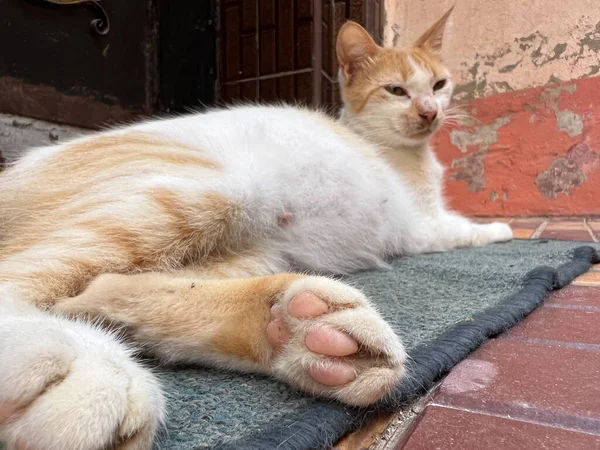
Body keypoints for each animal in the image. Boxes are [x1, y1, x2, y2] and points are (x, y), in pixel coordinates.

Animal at [0, 7, 510, 450]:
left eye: (439, 85)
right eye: (396, 90)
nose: (429, 111)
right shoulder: (425, 224)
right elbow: (465, 226)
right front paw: (505, 230)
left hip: (250, 248)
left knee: (99, 290)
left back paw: (299, 331)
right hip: (201, 193)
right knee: (24, 279)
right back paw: (83, 363)